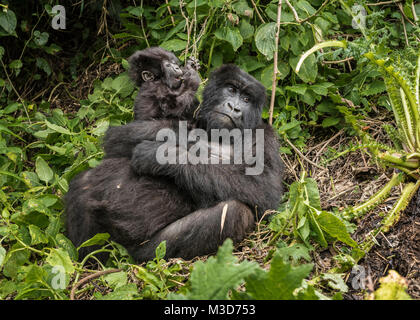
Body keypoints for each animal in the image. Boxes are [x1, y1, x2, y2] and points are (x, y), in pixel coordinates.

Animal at [64, 63, 284, 262]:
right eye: (231, 89)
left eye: (246, 99)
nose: (234, 107)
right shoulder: (191, 108)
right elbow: (118, 137)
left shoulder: (266, 135)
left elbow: (263, 189)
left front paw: (163, 154)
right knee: (85, 182)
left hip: (148, 251)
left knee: (233, 212)